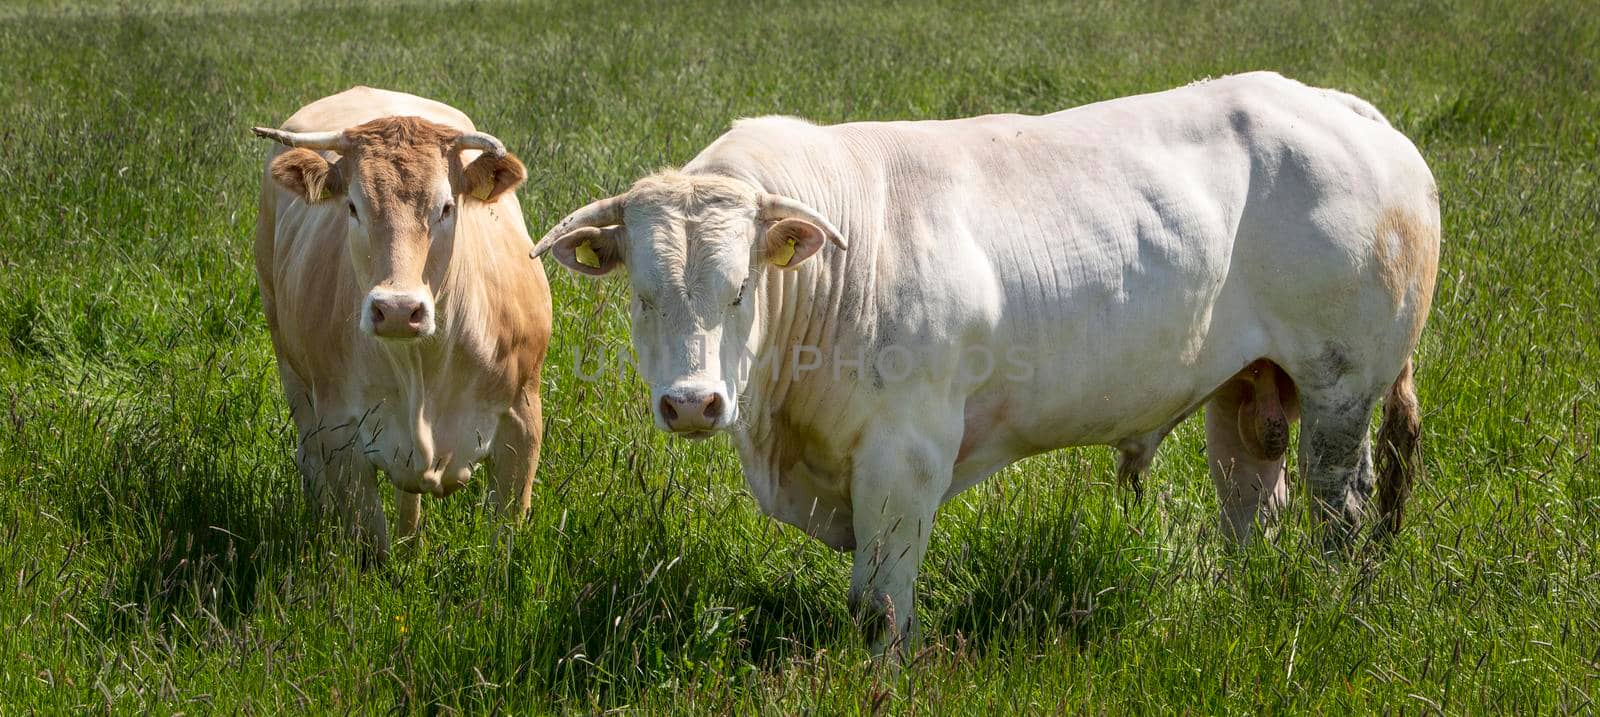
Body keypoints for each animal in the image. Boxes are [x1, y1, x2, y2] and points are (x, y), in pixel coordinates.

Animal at [249, 85, 550, 553]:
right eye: (353, 207)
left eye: (446, 207)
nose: (396, 311)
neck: (423, 366)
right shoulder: (340, 435)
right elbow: (368, 540)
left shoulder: (523, 420)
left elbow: (505, 536)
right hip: (289, 363)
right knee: (310, 457)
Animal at [534, 72, 1440, 656]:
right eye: (644, 293)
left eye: (740, 288)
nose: (693, 403)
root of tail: (1343, 107)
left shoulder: (906, 456)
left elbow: (879, 605)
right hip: (1248, 387)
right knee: (1255, 498)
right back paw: (1238, 597)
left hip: (1341, 386)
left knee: (1340, 505)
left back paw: (1327, 599)